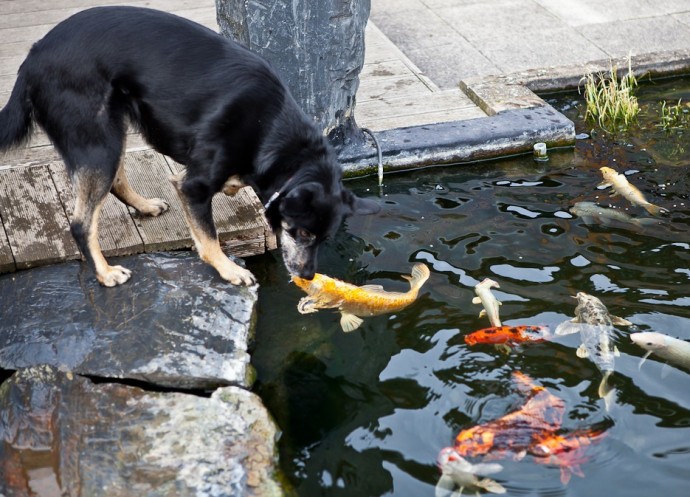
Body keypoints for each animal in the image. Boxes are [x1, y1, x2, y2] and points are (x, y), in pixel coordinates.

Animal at [0, 6, 376, 286]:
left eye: (324, 239)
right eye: (301, 232)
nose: (308, 276)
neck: (273, 131)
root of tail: (32, 58)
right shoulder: (193, 187)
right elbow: (209, 238)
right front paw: (230, 270)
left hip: (112, 130)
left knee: (116, 180)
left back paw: (144, 206)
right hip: (98, 140)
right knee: (81, 223)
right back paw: (105, 274)